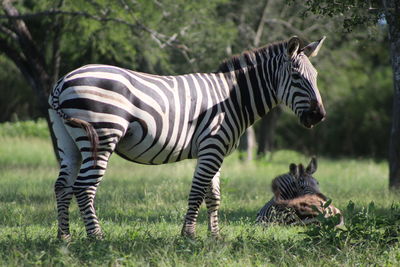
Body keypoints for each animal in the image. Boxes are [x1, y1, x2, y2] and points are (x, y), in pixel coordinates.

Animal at [48, 36, 326, 241]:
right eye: (297, 77)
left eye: (316, 77)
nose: (319, 115)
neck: (233, 99)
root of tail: (62, 82)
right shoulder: (212, 147)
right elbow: (197, 192)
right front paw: (189, 235)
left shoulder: (215, 150)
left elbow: (213, 196)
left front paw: (215, 236)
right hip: (101, 137)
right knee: (84, 188)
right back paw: (96, 237)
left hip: (68, 142)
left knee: (62, 186)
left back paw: (65, 237)